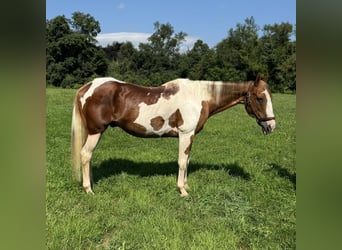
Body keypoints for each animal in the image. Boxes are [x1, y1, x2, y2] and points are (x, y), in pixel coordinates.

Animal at [71, 73, 276, 196]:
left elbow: (187, 161)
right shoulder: (185, 134)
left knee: (88, 157)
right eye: (259, 98)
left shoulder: (190, 136)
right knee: (85, 155)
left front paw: (186, 185)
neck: (199, 96)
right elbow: (182, 162)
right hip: (96, 131)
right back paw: (88, 189)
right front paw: (182, 191)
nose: (271, 125)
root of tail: (88, 86)